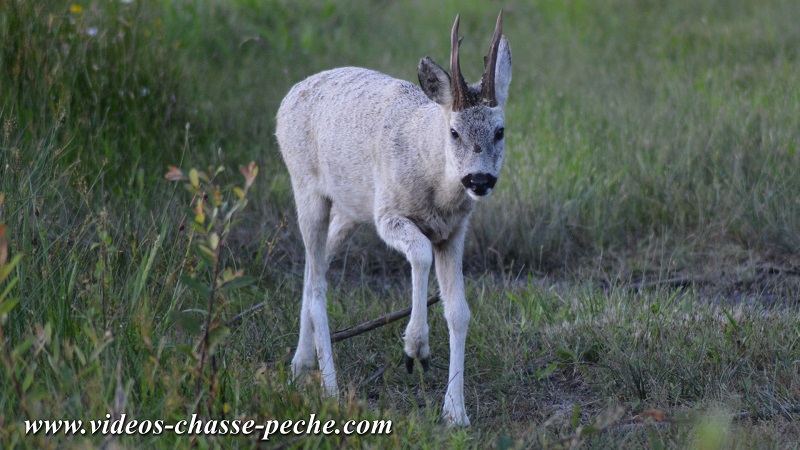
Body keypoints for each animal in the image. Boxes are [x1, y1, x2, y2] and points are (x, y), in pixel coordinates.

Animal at [276, 11, 512, 426]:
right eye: (453, 131)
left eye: (500, 131)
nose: (479, 180)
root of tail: (288, 98)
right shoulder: (388, 213)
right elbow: (419, 254)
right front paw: (415, 349)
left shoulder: (453, 232)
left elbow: (459, 312)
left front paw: (456, 412)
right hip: (306, 187)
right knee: (318, 285)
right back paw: (331, 390)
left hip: (349, 212)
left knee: (310, 271)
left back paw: (300, 367)